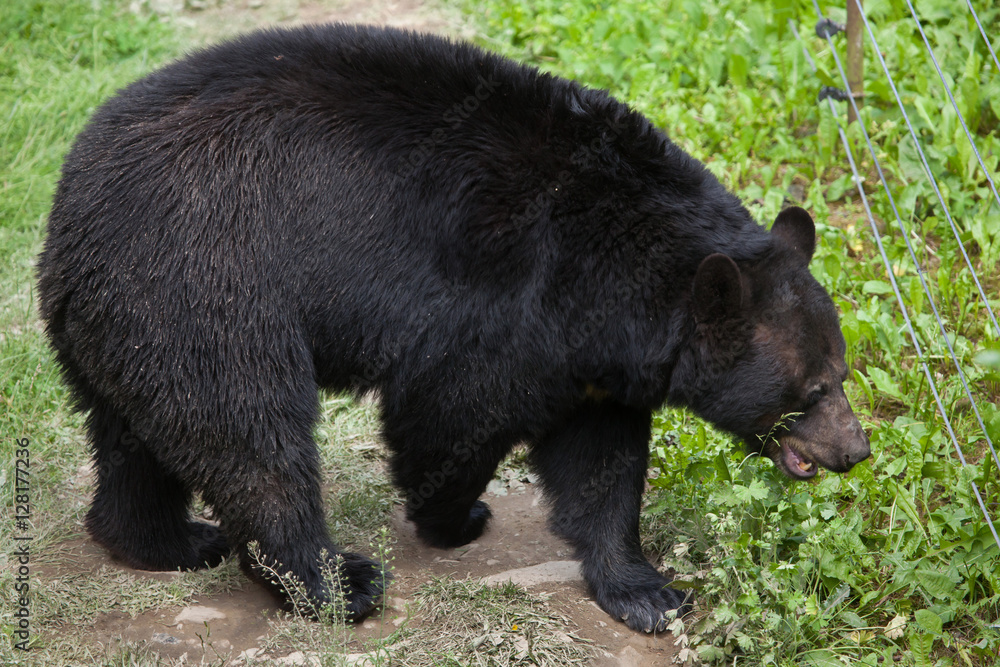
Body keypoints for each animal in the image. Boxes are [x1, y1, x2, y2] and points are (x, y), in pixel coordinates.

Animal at [37, 23, 870, 633]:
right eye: (814, 386)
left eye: (844, 372)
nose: (856, 449)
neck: (618, 272)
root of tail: (71, 206)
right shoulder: (508, 301)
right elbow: (451, 411)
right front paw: (458, 514)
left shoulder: (594, 360)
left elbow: (603, 464)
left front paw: (646, 589)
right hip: (208, 289)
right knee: (251, 436)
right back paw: (336, 581)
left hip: (126, 323)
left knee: (134, 435)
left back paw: (164, 539)